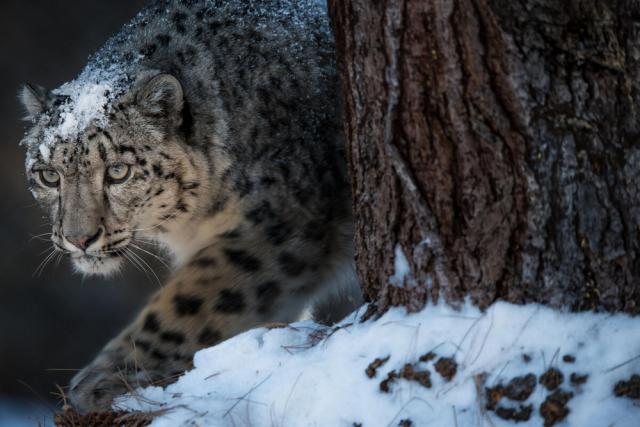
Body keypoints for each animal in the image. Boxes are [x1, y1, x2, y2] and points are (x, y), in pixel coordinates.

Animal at [18, 0, 358, 413]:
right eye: (49, 175)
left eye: (118, 171)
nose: (79, 238)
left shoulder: (280, 222)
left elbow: (191, 299)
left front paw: (102, 380)